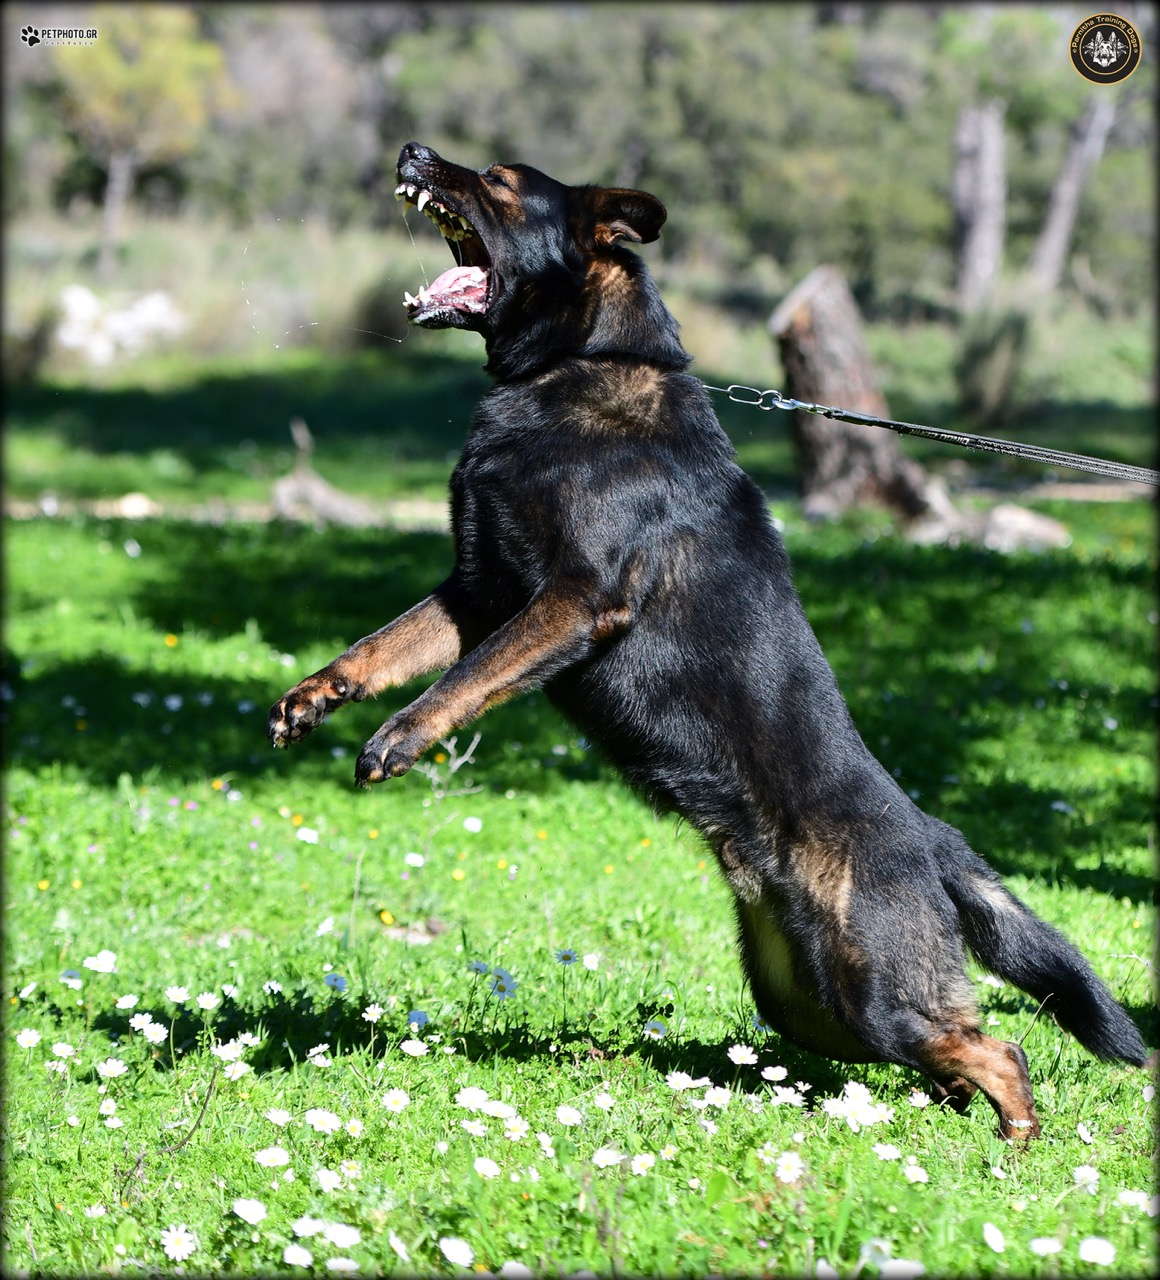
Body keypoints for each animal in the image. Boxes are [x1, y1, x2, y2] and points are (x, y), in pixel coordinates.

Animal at [269, 141, 1146, 1138]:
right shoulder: (478, 592)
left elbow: (465, 680)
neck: (583, 366)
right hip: (813, 1005)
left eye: (498, 180)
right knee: (952, 1048)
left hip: (872, 986)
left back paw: (1014, 1143)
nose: (414, 151)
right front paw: (316, 696)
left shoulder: (572, 602)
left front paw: (399, 738)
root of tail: (932, 838)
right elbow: (383, 649)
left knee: (1000, 1050)